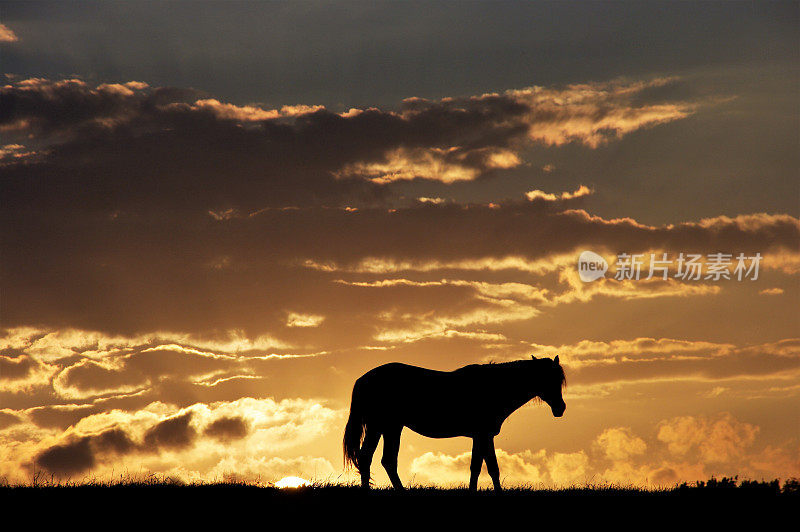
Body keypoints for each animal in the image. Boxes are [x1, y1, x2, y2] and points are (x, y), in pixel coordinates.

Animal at [340, 356, 564, 492]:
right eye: (548, 379)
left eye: (560, 380)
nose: (560, 409)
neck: (493, 387)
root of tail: (364, 379)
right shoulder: (483, 434)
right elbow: (488, 466)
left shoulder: (482, 435)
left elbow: (481, 466)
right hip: (379, 425)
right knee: (368, 457)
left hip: (391, 427)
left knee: (384, 460)